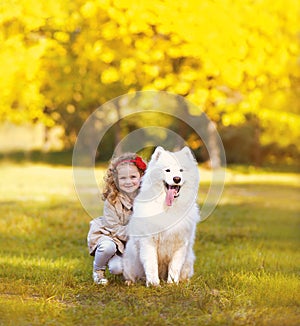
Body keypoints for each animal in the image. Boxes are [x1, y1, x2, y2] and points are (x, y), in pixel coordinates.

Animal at [123, 146, 200, 286]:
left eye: (181, 170)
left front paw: (172, 283)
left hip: (189, 260)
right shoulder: (148, 241)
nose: (176, 179)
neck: (168, 208)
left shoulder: (180, 243)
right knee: (130, 275)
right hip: (130, 260)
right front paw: (153, 283)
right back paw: (131, 282)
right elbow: (151, 264)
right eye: (167, 170)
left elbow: (174, 266)